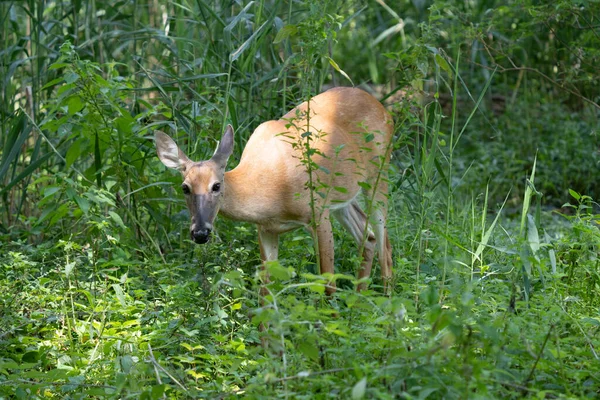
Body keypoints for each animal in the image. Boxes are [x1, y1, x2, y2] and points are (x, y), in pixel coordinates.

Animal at [155, 86, 396, 294]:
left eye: (216, 185)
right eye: (185, 187)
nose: (200, 233)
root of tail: (381, 106)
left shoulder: (317, 213)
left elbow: (328, 282)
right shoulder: (266, 229)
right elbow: (266, 291)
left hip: (379, 174)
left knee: (385, 246)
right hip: (341, 197)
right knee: (368, 236)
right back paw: (358, 299)